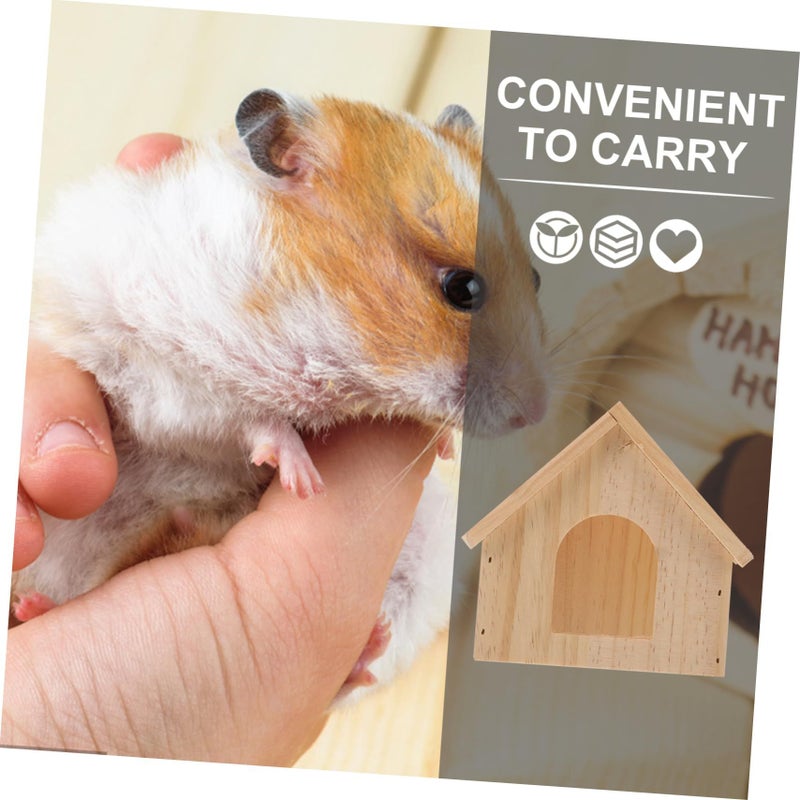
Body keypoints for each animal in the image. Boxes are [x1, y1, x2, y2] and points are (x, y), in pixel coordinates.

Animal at [13, 89, 549, 696]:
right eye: (463, 288)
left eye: (535, 278)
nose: (538, 411)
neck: (308, 308)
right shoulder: (165, 364)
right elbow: (244, 417)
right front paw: (303, 480)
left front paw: (441, 445)